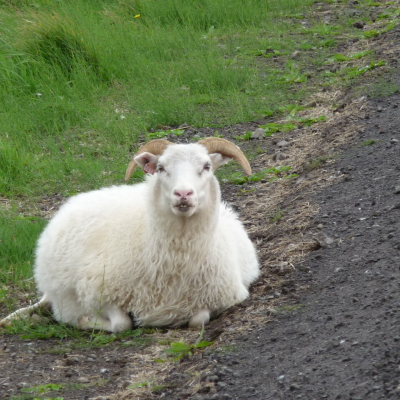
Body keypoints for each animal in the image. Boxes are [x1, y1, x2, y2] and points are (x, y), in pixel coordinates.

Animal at [0, 138, 260, 332]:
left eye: (206, 166)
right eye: (161, 168)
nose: (183, 194)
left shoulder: (220, 298)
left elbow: (198, 320)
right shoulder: (99, 293)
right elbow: (122, 324)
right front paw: (84, 320)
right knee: (46, 300)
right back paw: (17, 318)